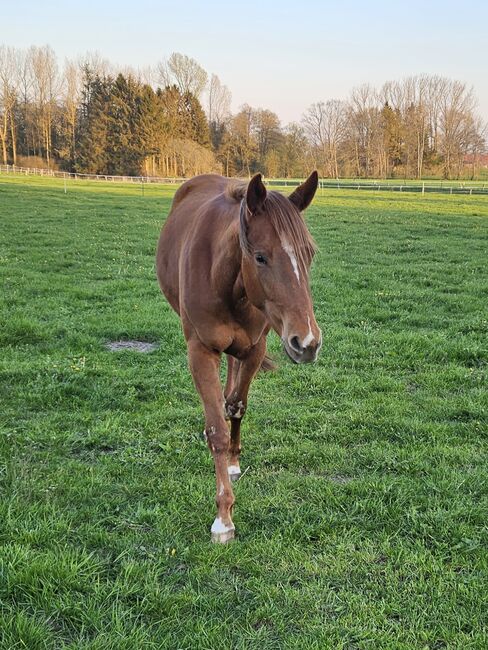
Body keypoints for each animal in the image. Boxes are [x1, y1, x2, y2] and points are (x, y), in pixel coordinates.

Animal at [158, 172, 322, 540]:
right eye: (260, 257)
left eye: (309, 254)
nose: (307, 342)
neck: (226, 279)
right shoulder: (200, 351)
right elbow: (216, 429)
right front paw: (223, 518)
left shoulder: (254, 348)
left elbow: (238, 407)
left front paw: (233, 461)